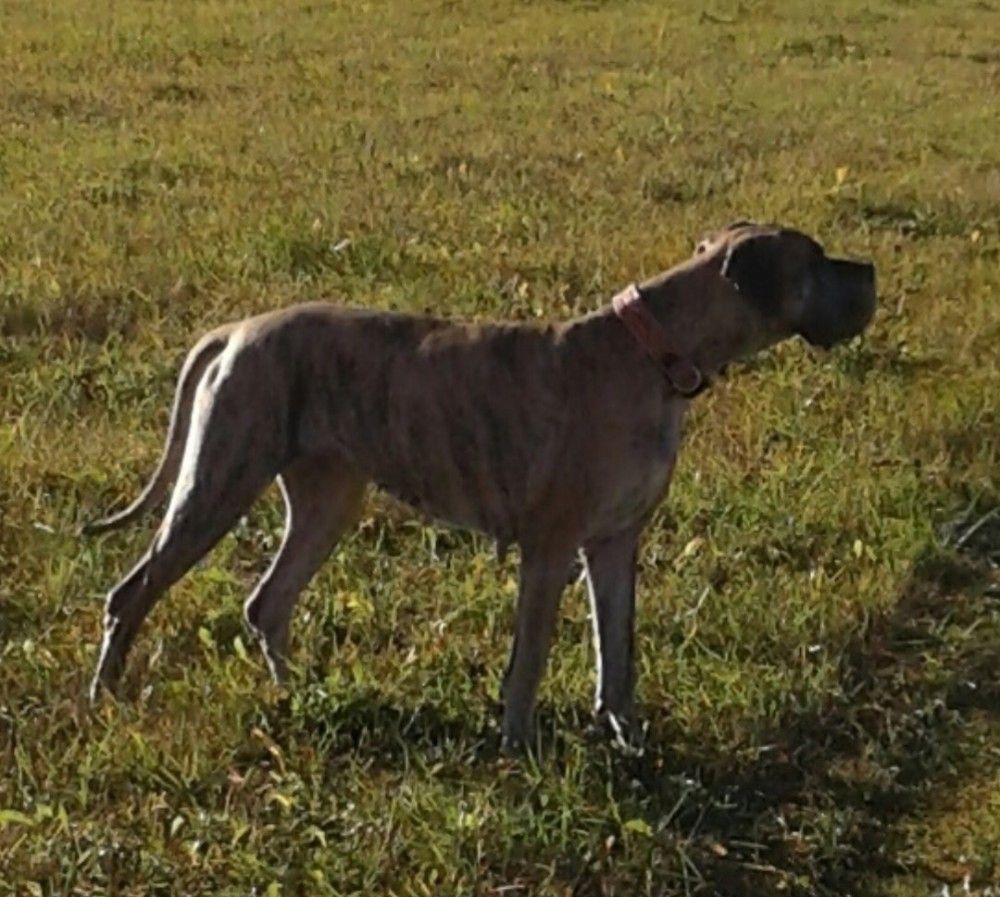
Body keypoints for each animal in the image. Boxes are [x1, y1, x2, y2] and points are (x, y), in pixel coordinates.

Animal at [84, 221, 876, 749]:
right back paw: (104, 695)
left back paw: (297, 693)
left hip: (326, 498)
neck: (656, 353)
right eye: (815, 259)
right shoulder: (551, 547)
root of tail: (236, 329)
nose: (869, 269)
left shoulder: (616, 542)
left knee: (267, 602)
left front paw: (625, 736)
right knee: (133, 591)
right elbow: (531, 657)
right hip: (219, 483)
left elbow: (618, 651)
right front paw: (519, 747)